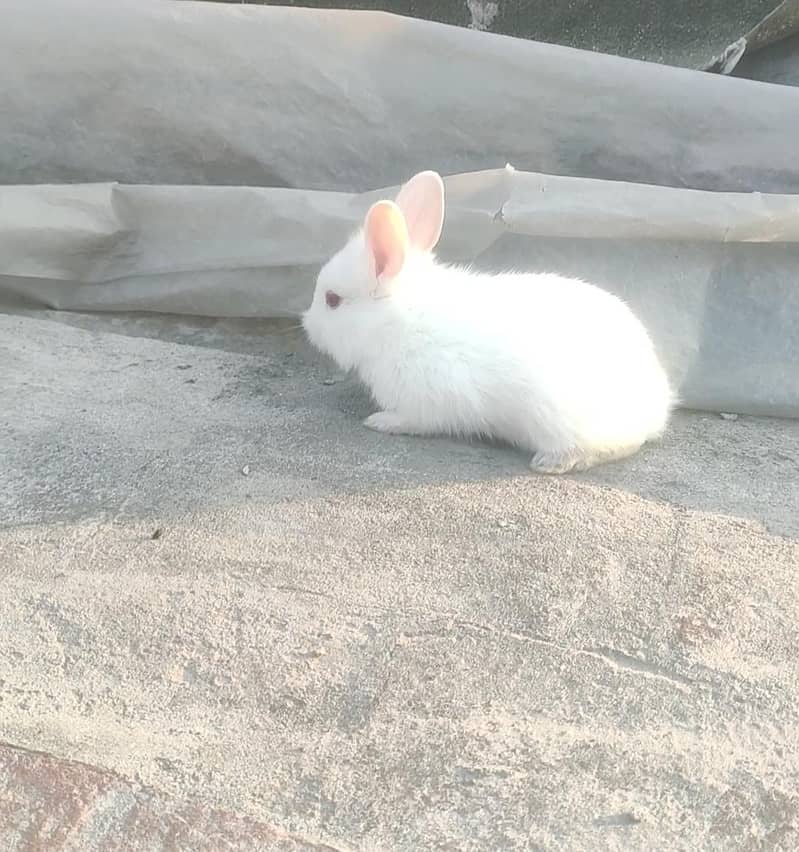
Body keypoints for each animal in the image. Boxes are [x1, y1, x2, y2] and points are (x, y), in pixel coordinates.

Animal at [302, 170, 674, 473]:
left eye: (332, 300)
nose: (307, 324)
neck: (395, 323)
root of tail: (657, 404)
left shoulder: (428, 400)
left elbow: (414, 419)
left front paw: (379, 422)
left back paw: (552, 462)